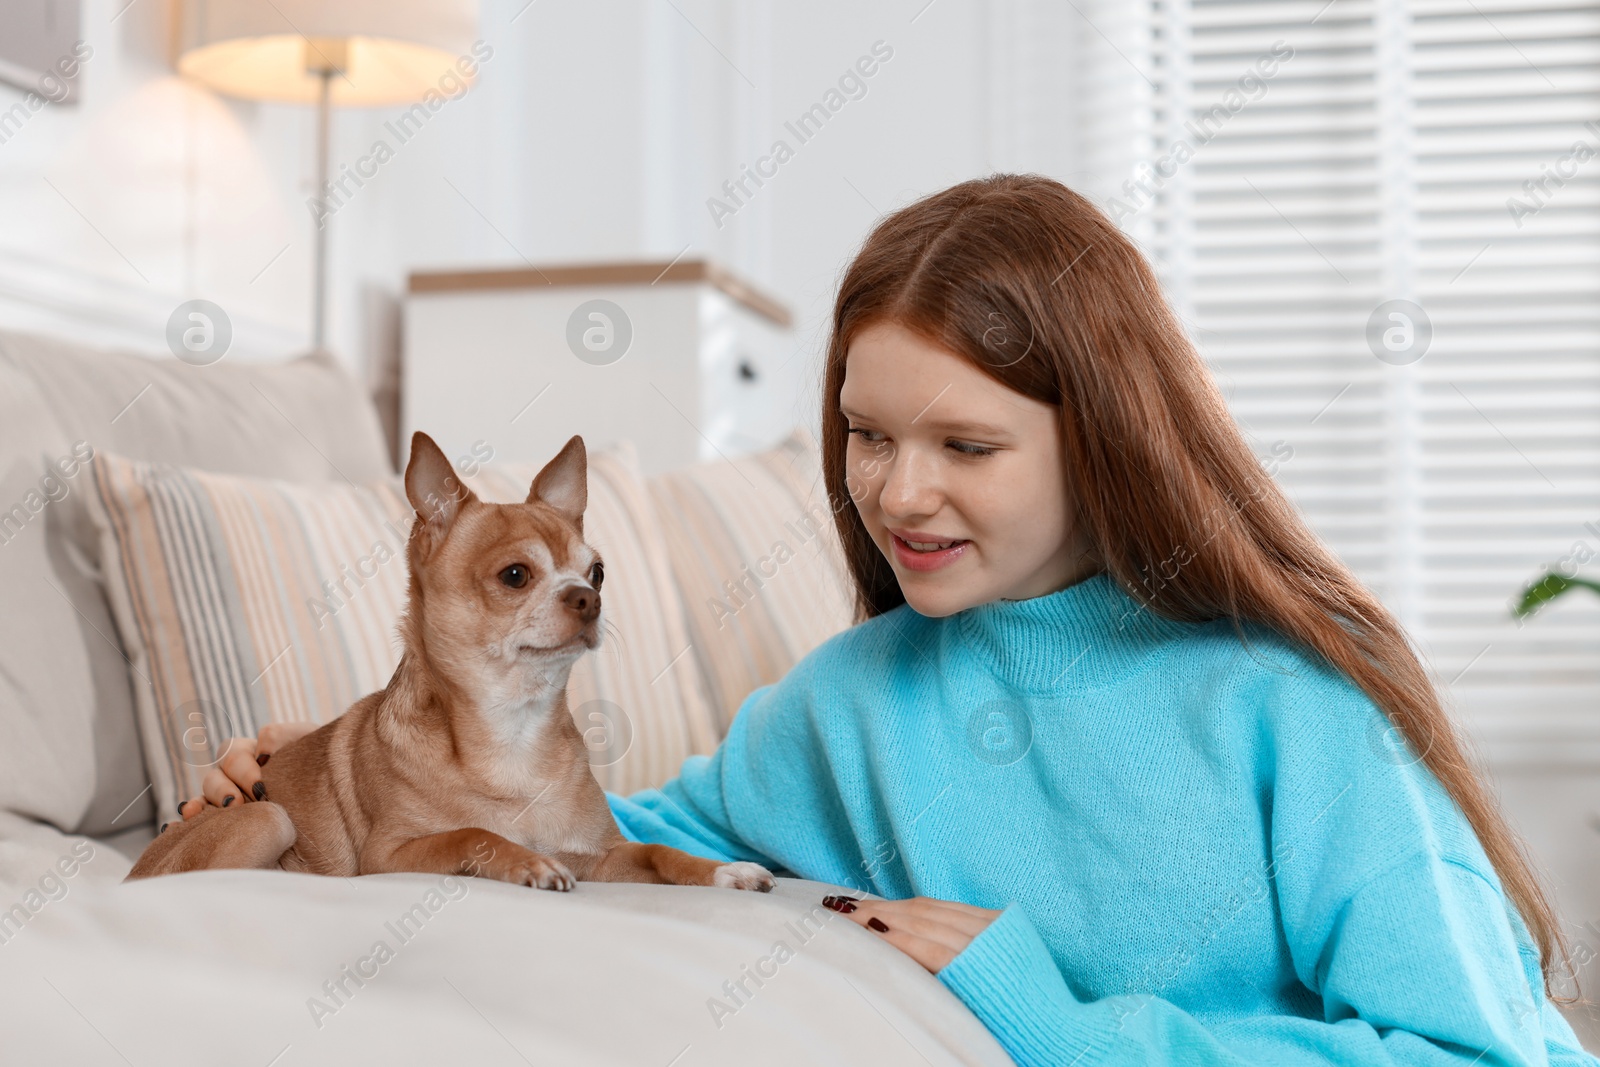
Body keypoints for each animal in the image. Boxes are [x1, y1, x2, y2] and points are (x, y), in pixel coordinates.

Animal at [124, 428, 774, 895]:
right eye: (515, 575)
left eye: (597, 573)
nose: (587, 599)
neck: (513, 730)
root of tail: (133, 870)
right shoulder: (388, 856)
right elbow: (471, 833)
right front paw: (525, 861)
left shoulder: (601, 856)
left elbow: (659, 851)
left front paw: (724, 870)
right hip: (269, 819)